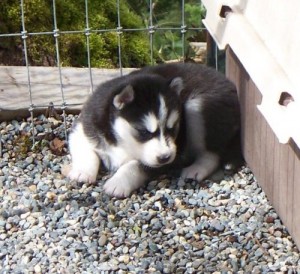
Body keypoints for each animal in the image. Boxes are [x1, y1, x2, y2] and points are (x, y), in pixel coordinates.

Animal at [67, 62, 243, 197]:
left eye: (172, 128)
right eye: (143, 132)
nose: (165, 157)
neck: (122, 141)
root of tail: (230, 84)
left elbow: (134, 165)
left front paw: (118, 182)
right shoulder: (84, 129)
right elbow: (85, 150)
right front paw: (83, 172)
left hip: (196, 107)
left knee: (212, 155)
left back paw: (196, 169)